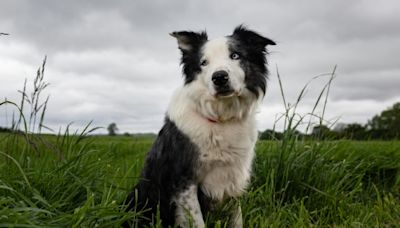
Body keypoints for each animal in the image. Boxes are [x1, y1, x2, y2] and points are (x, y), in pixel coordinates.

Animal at [125, 25, 276, 227]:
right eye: (204, 62)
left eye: (235, 55)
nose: (219, 77)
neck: (221, 118)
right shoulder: (184, 181)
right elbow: (197, 222)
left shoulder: (233, 177)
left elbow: (236, 219)